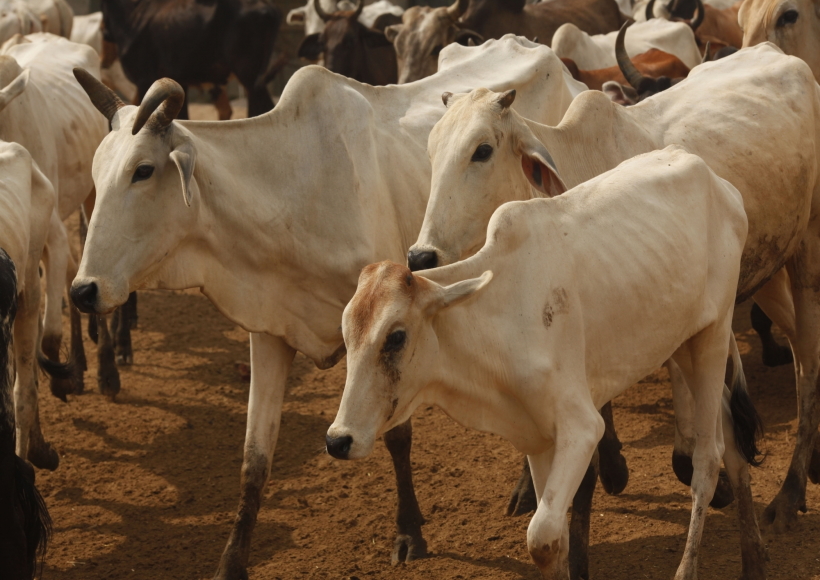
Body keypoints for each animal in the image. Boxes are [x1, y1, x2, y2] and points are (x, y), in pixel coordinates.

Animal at [70, 35, 583, 579]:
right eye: (96, 173)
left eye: (142, 171)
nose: (83, 291)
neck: (292, 192)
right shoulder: (269, 333)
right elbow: (254, 459)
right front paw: (231, 562)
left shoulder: (394, 325)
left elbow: (396, 435)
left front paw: (408, 531)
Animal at [328, 146, 761, 580]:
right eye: (346, 335)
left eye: (396, 336)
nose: (337, 440)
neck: (496, 315)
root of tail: (715, 180)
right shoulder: (536, 437)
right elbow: (556, 543)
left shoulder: (582, 428)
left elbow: (541, 535)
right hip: (682, 343)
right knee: (733, 442)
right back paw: (753, 560)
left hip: (714, 334)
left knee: (708, 459)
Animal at [410, 42, 820, 536]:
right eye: (431, 150)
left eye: (482, 150)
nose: (421, 256)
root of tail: (775, 50)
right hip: (769, 271)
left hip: (808, 246)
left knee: (808, 363)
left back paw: (791, 491)